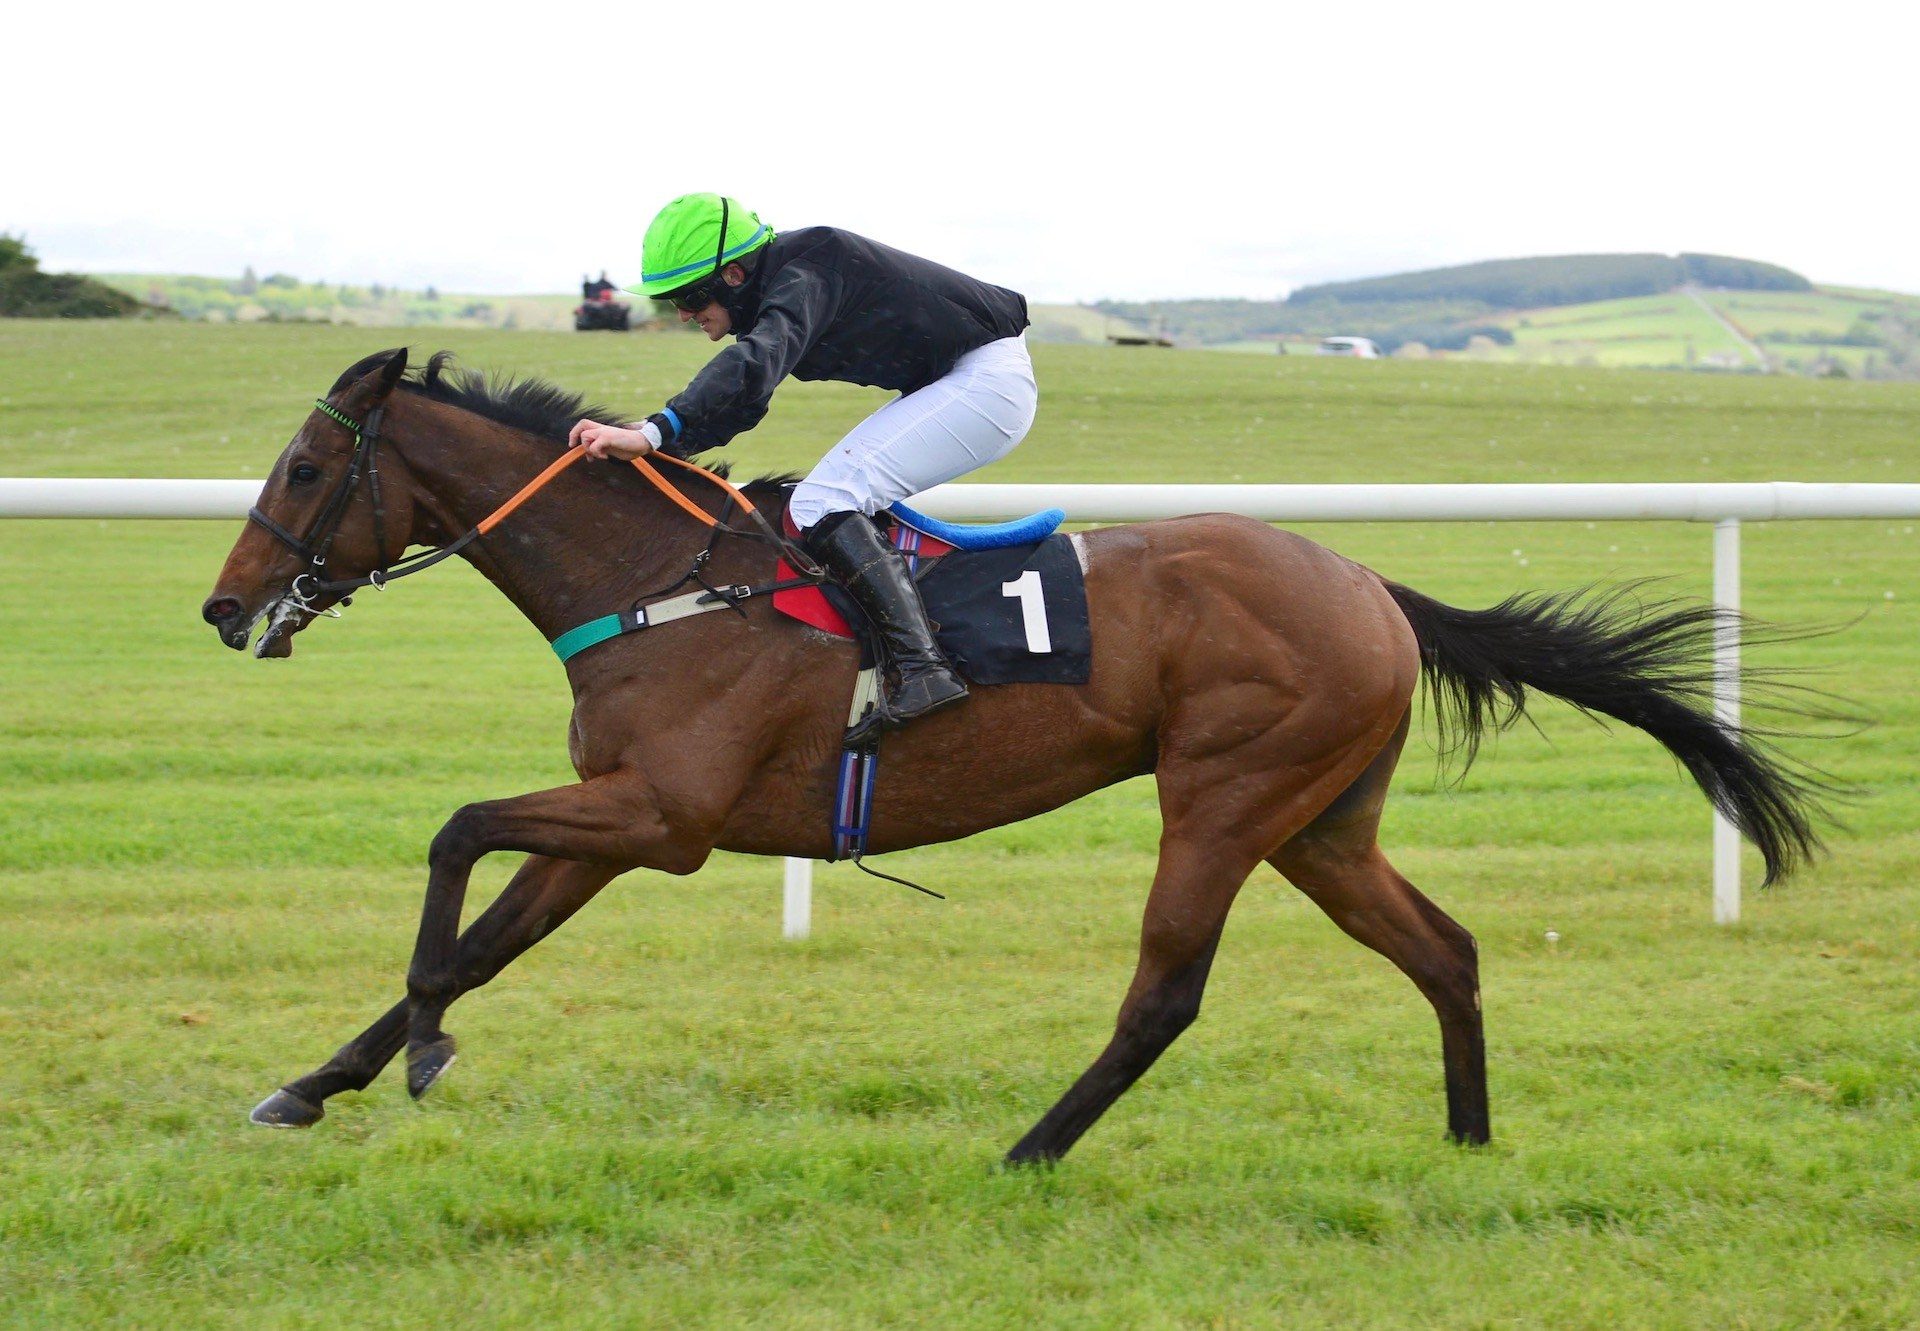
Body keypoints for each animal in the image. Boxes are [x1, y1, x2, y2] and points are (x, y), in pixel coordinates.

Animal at [198, 347, 1827, 1160]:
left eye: (303, 464)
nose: (223, 606)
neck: (663, 577)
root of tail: (1372, 584)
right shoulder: (623, 813)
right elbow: (486, 930)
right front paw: (317, 1081)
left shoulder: (663, 813)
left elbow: (457, 835)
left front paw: (417, 1047)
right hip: (1322, 820)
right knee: (1447, 948)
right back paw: (1470, 1142)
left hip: (1226, 796)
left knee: (1167, 992)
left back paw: (1031, 1149)